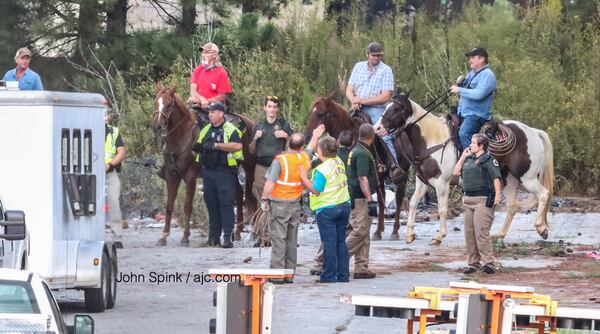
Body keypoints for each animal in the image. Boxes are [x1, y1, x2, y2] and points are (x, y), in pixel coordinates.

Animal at [152, 83, 255, 245]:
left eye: (168, 105)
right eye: (156, 102)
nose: (156, 126)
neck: (181, 137)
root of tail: (250, 123)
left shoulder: (190, 177)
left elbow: (187, 206)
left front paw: (185, 236)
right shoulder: (171, 175)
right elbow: (169, 205)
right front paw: (164, 236)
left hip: (249, 167)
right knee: (239, 194)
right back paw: (237, 231)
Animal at [304, 96, 412, 240]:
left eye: (321, 113)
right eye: (311, 112)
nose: (307, 137)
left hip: (401, 174)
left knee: (399, 198)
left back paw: (394, 231)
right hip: (379, 178)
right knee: (381, 198)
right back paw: (378, 231)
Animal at [376, 93, 552, 245]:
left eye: (397, 108)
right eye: (386, 106)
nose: (377, 128)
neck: (432, 139)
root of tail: (534, 132)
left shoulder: (442, 183)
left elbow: (442, 209)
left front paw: (439, 236)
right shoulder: (423, 181)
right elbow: (413, 203)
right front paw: (410, 234)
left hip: (527, 177)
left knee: (544, 194)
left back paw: (541, 228)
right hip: (509, 179)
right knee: (512, 205)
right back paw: (499, 235)